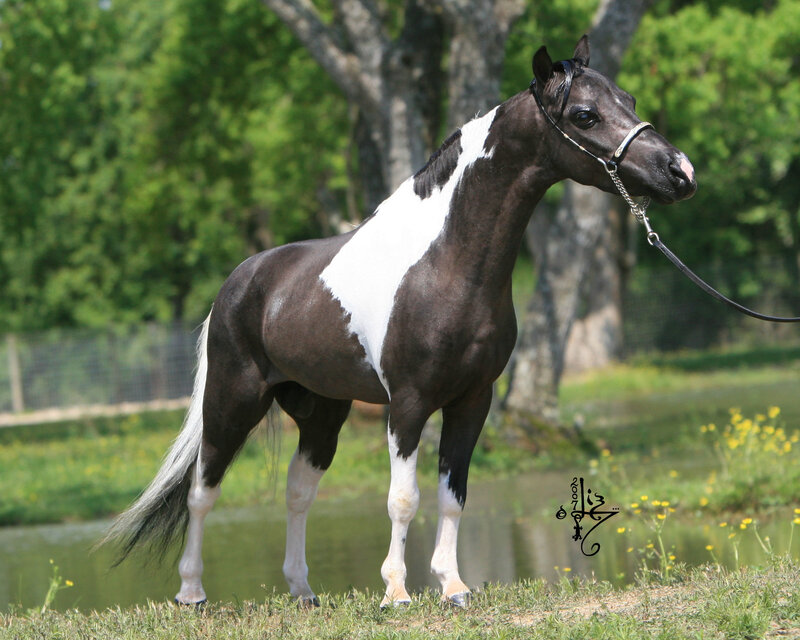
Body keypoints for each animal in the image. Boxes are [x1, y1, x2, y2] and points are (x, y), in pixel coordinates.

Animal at [103, 36, 696, 608]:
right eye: (585, 115)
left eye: (629, 100)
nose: (681, 172)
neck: (444, 265)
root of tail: (242, 280)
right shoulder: (408, 404)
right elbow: (404, 499)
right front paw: (396, 593)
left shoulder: (472, 400)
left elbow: (453, 496)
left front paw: (453, 587)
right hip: (232, 401)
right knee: (203, 490)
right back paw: (191, 593)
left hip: (321, 413)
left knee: (298, 492)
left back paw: (303, 592)